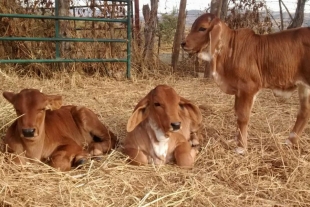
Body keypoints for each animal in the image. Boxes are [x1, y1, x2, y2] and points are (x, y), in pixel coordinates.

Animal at [180, 12, 310, 152]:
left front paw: (241, 147)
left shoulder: (248, 88)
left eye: (202, 28)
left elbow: (243, 117)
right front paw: (236, 140)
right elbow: (237, 114)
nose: (183, 43)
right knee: (304, 112)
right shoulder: (239, 90)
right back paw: (290, 141)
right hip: (304, 86)